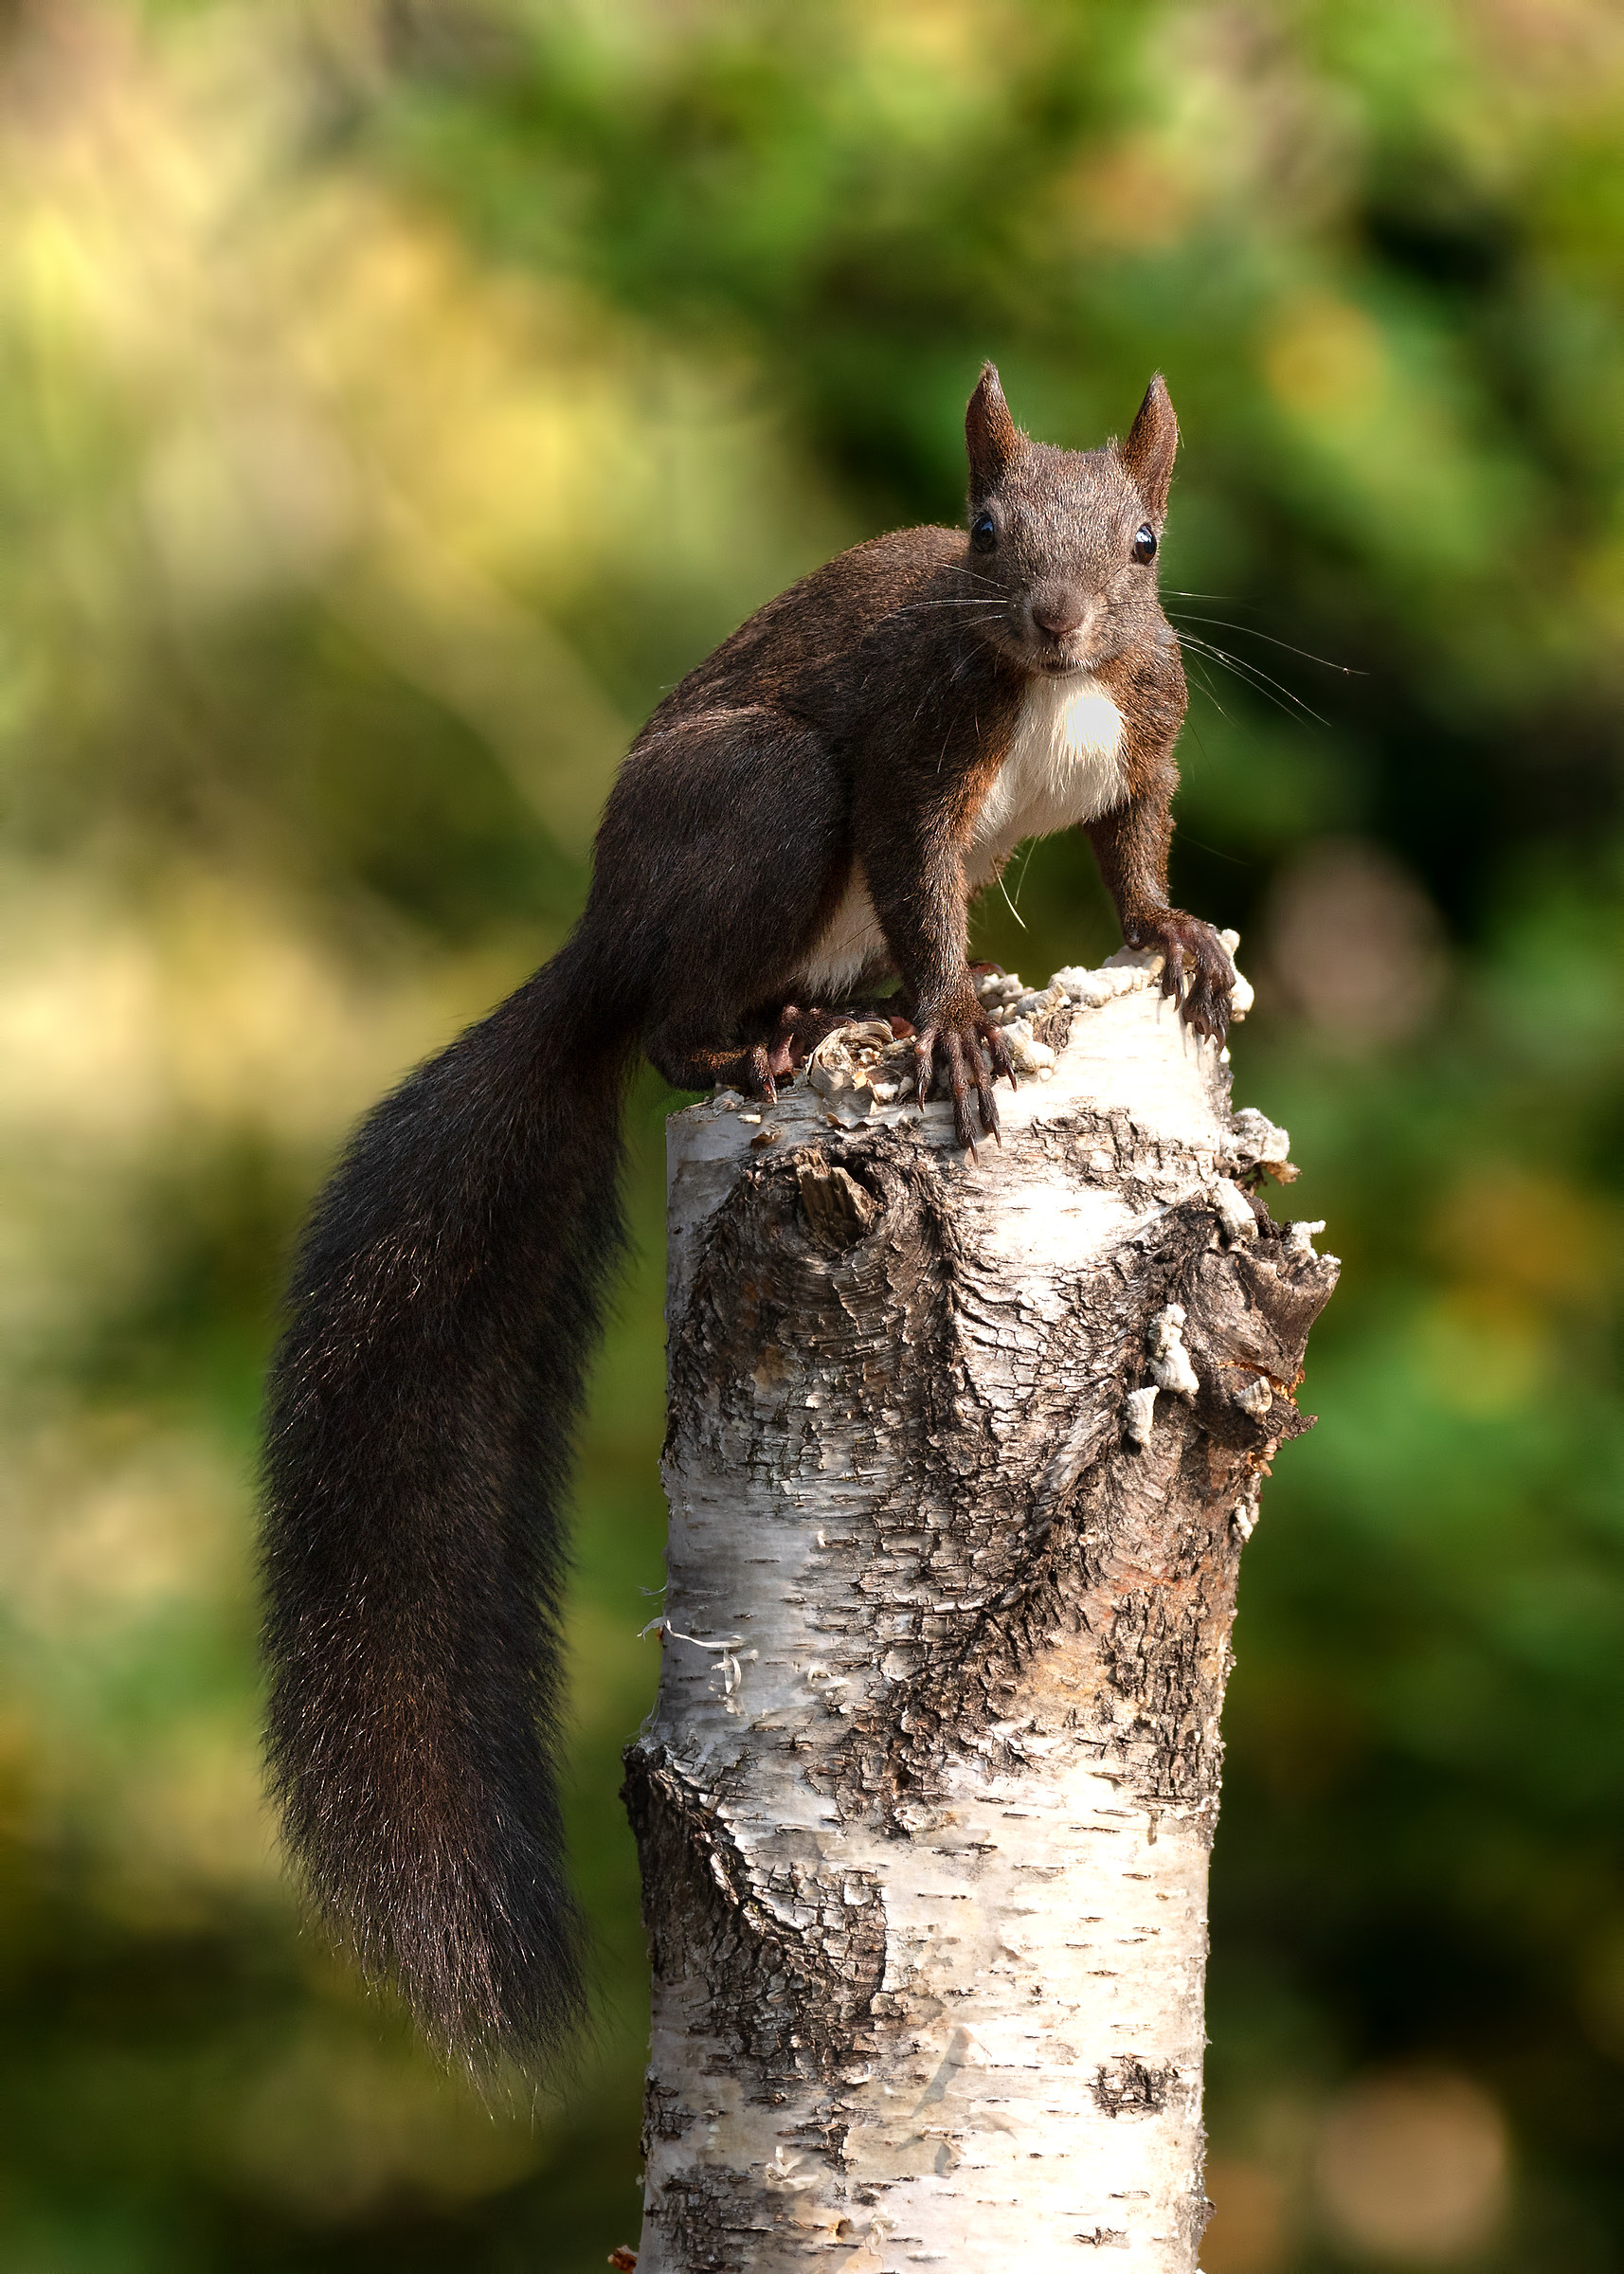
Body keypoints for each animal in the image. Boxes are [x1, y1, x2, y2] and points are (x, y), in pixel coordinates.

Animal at [260, 364, 1236, 2066]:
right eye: (982, 528)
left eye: (1143, 542)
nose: (1055, 622)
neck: (1049, 697)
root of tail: (602, 931)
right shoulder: (912, 757)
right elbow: (923, 887)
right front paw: (956, 1017)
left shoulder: (1145, 734)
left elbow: (1130, 852)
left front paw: (1169, 936)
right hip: (760, 800)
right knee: (672, 1020)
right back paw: (754, 1043)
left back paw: (812, 1025)